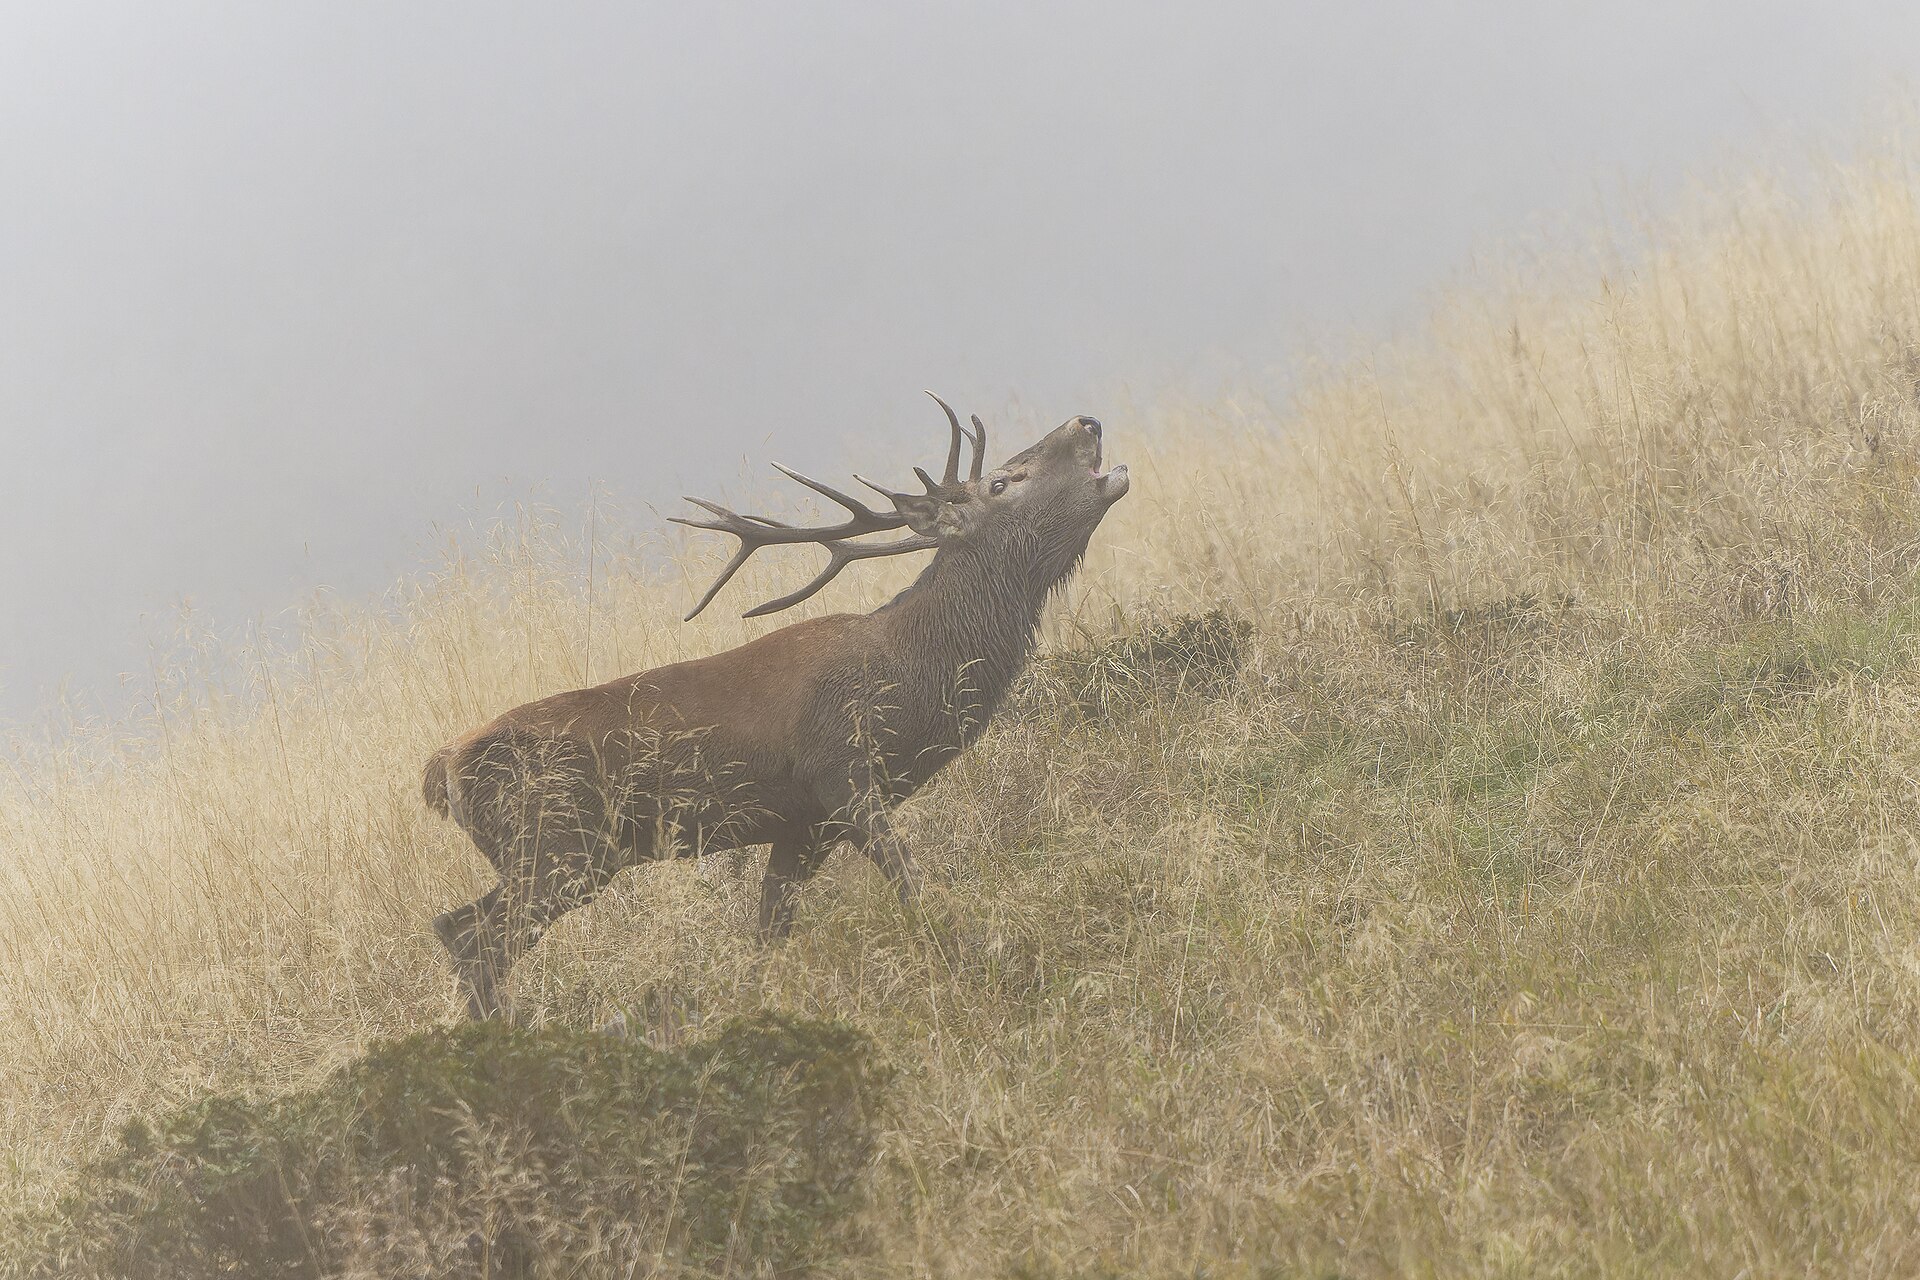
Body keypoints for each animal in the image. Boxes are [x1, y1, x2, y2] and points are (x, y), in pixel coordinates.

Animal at [422, 395, 1129, 1017]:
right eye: (1005, 482)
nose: (1087, 421)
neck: (907, 681)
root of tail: (442, 769)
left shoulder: (801, 825)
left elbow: (768, 935)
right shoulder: (842, 773)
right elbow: (909, 883)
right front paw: (965, 962)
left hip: (550, 854)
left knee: (457, 927)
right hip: (557, 845)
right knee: (476, 941)